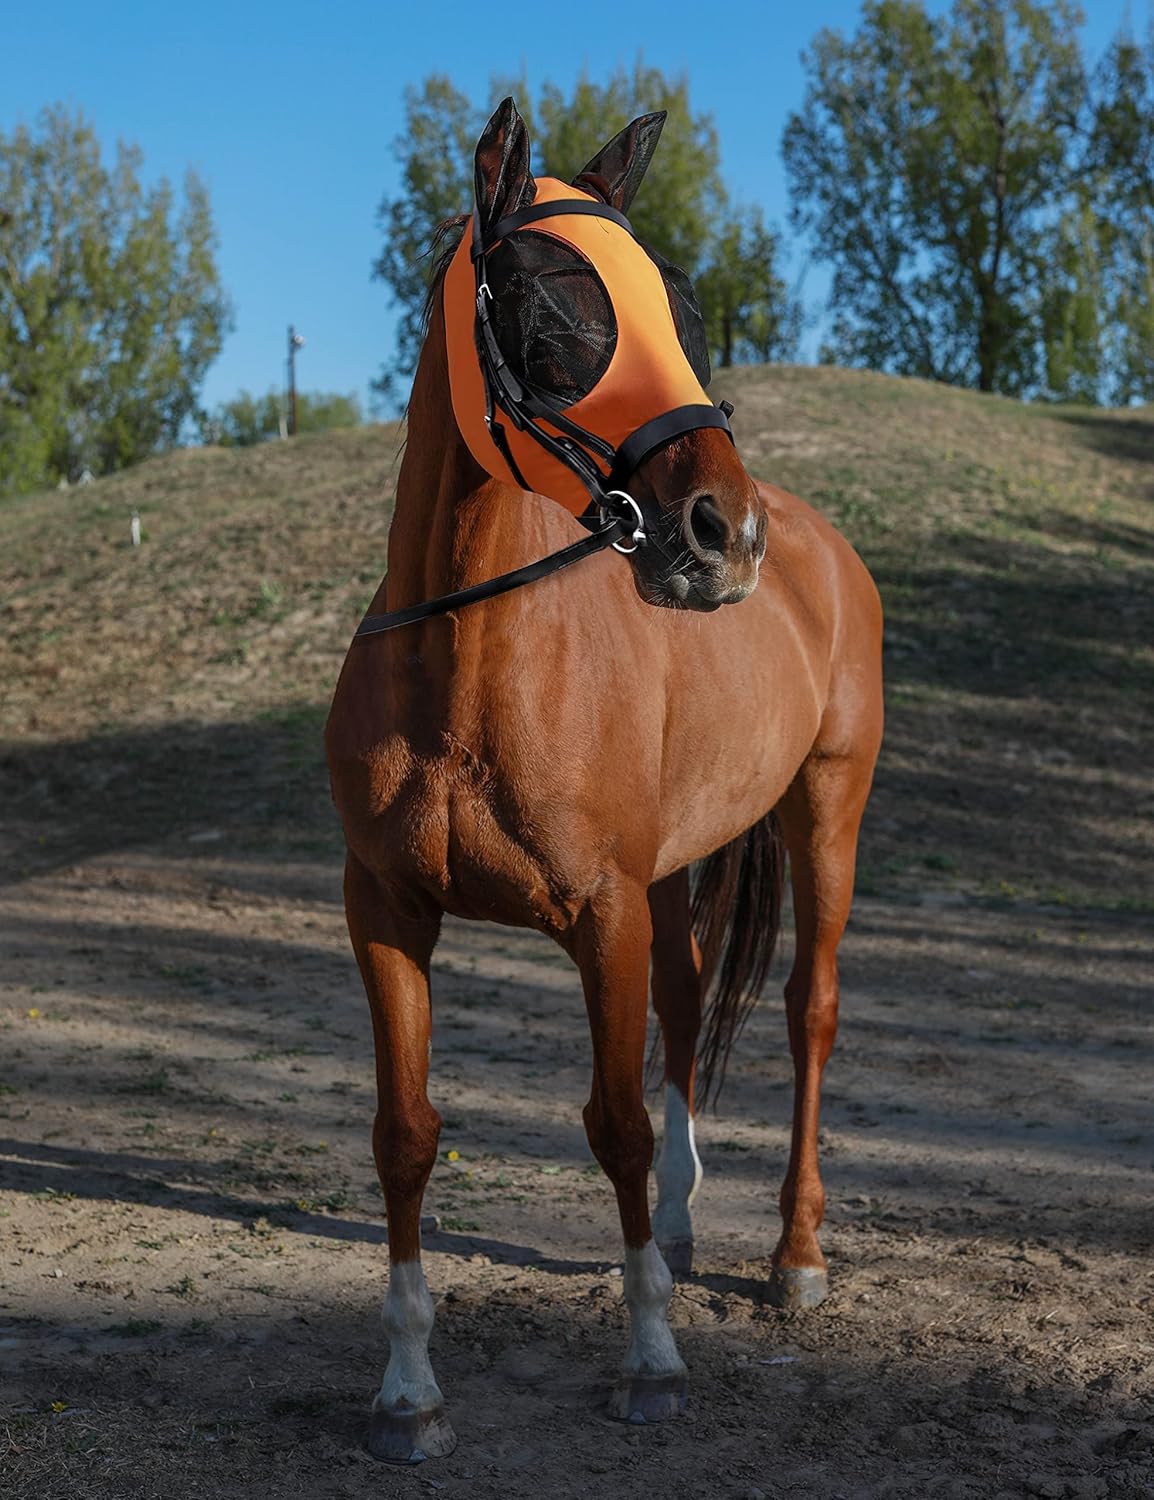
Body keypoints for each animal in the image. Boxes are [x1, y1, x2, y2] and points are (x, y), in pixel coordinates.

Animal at [325, 98, 884, 1463]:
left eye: (676, 302)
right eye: (546, 301)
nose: (721, 532)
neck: (464, 670)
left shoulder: (604, 913)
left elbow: (616, 1126)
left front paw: (651, 1363)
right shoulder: (387, 913)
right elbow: (405, 1136)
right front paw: (407, 1392)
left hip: (825, 810)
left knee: (807, 1014)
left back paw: (792, 1256)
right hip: (680, 864)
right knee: (686, 1007)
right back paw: (681, 1238)